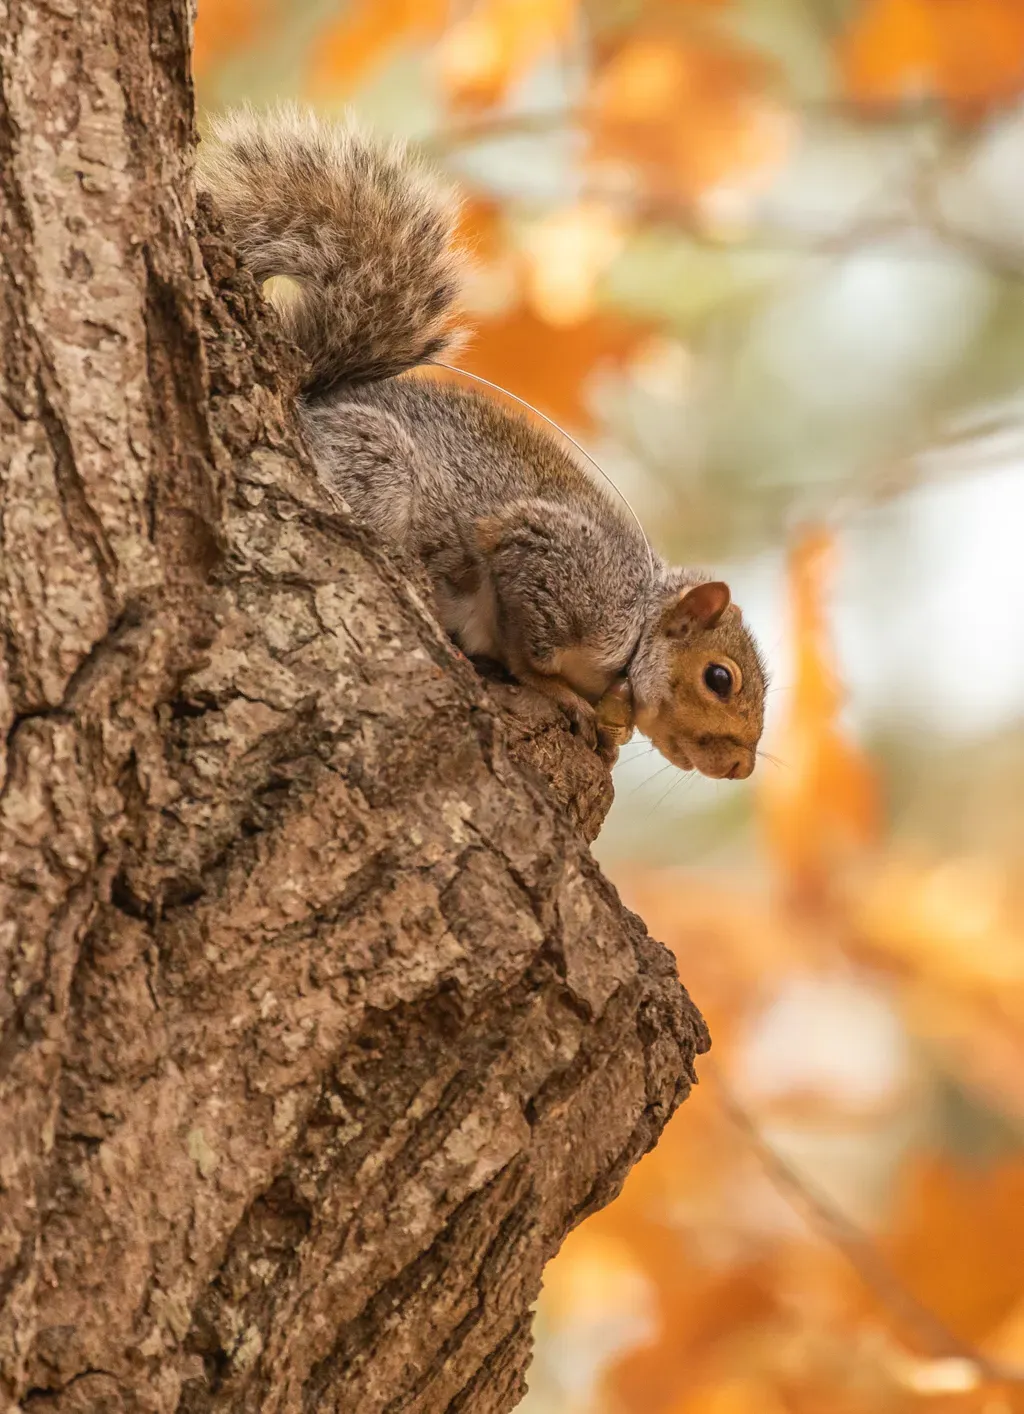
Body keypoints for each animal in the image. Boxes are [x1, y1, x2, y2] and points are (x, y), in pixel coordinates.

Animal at [198, 106, 769, 780]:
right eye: (719, 678)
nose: (741, 769)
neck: (635, 633)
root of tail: (310, 403)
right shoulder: (561, 566)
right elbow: (529, 647)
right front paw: (554, 691)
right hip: (376, 463)